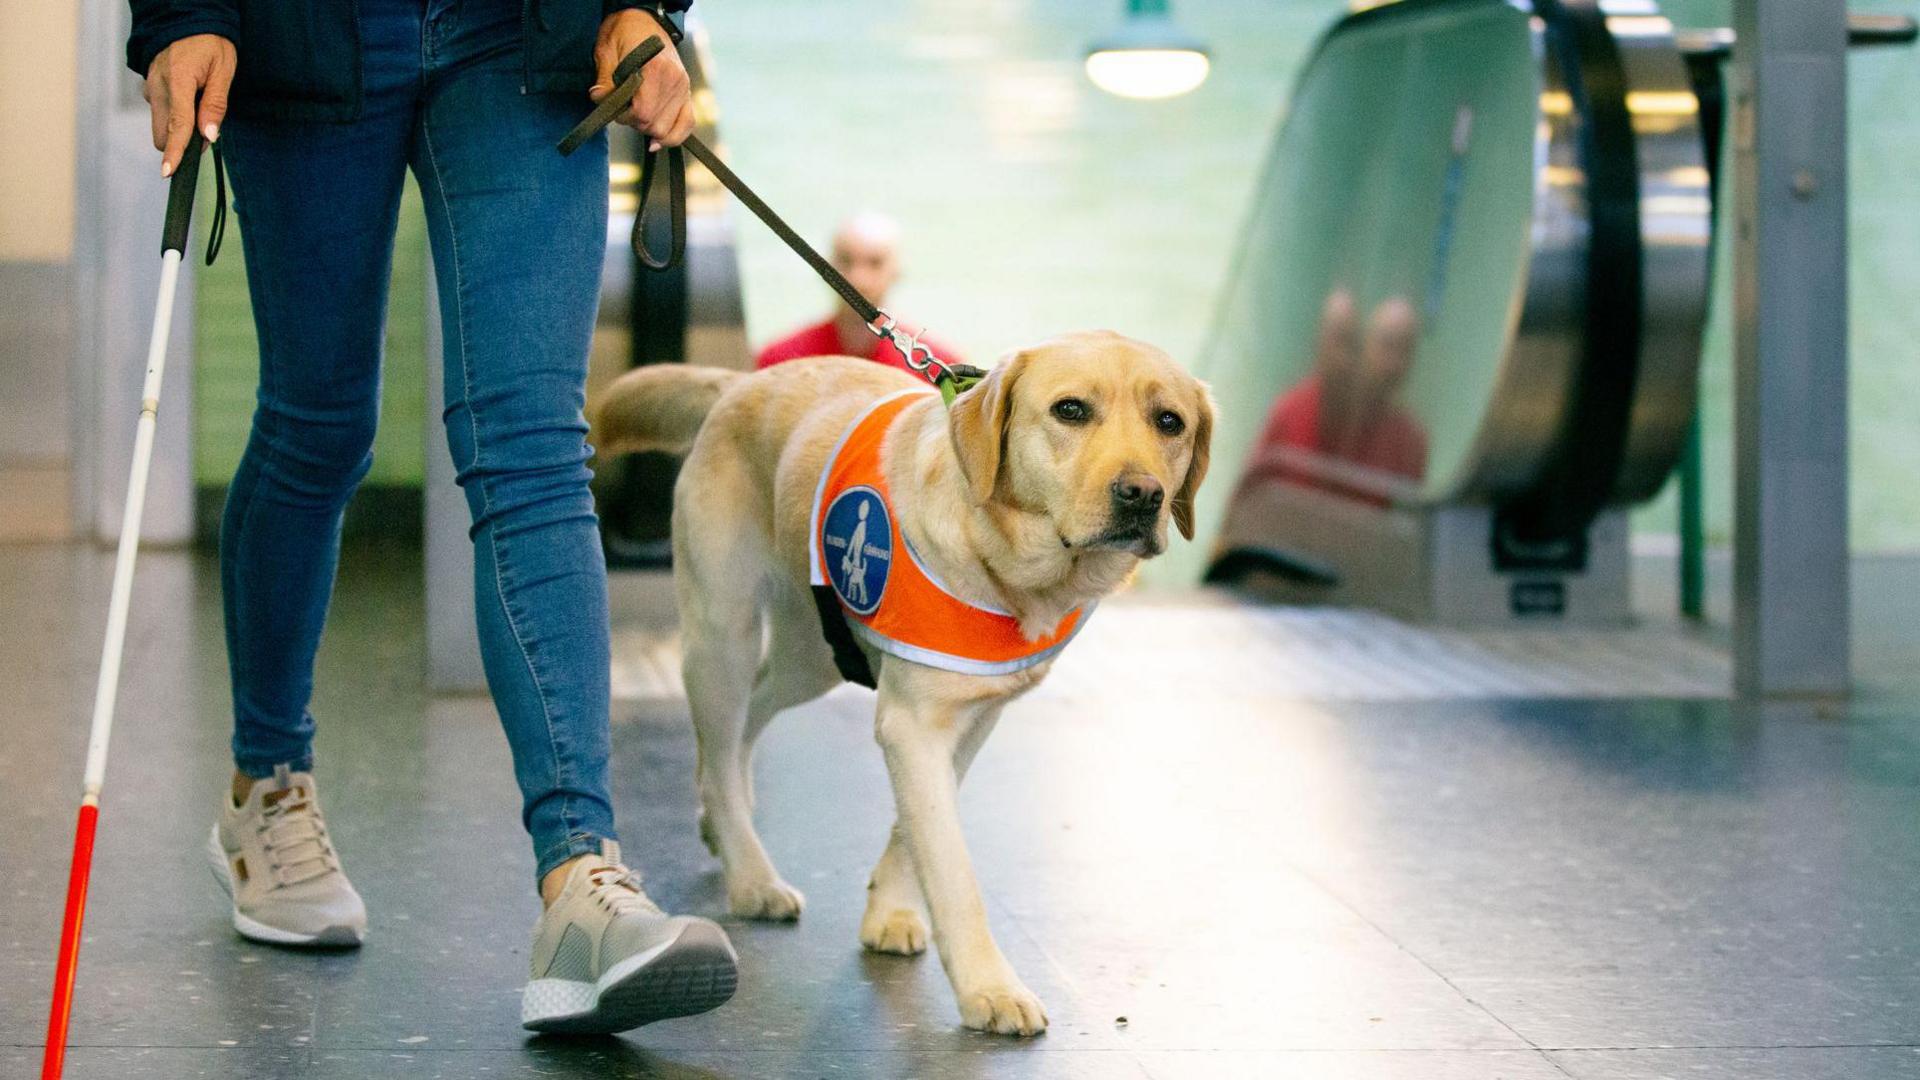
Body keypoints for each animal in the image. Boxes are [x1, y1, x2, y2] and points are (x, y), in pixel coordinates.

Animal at [587, 330, 1213, 1037]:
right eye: (1070, 410)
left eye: (1170, 422)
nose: (1142, 494)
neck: (1009, 564)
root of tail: (741, 384)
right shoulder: (914, 725)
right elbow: (953, 870)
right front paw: (989, 986)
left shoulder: (970, 717)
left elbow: (913, 834)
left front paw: (888, 912)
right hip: (724, 633)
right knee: (719, 748)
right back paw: (751, 876)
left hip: (813, 658)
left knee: (744, 725)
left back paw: (723, 827)